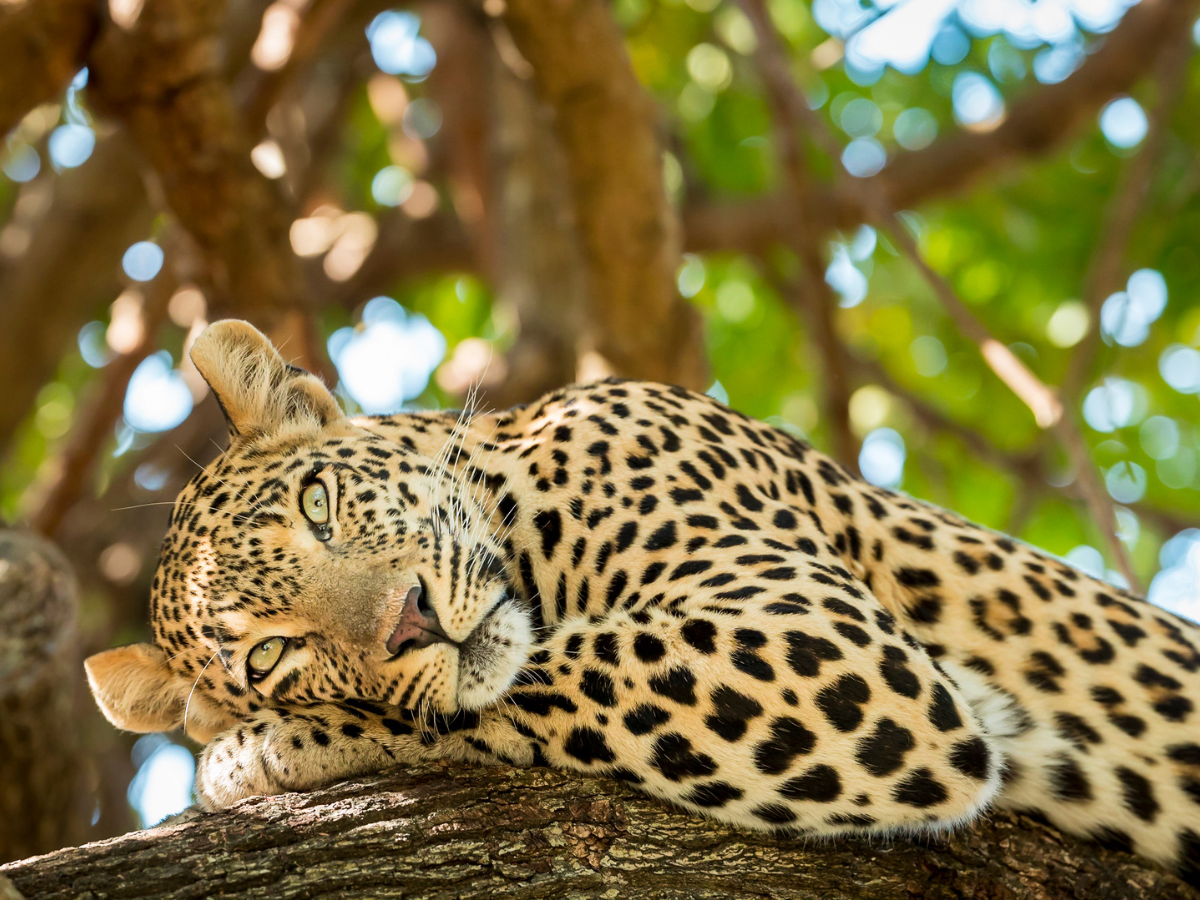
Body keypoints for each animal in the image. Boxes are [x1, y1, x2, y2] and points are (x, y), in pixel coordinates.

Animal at [86, 319, 1200, 886]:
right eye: (268, 656)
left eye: (318, 504)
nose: (412, 621)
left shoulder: (821, 642)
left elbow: (546, 677)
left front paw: (261, 754)